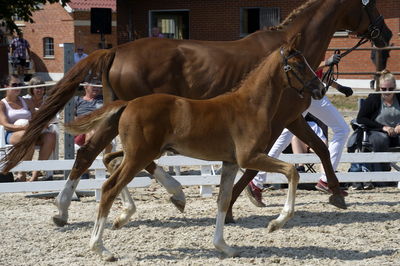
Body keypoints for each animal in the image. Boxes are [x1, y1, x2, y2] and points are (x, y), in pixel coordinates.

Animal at [66, 38, 324, 262]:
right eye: (299, 64)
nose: (320, 88)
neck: (250, 105)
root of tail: (128, 103)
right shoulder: (249, 157)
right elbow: (292, 171)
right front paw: (276, 223)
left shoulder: (231, 163)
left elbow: (223, 200)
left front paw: (224, 247)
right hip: (140, 156)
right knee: (109, 187)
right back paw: (101, 248)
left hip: (141, 153)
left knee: (110, 163)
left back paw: (125, 217)